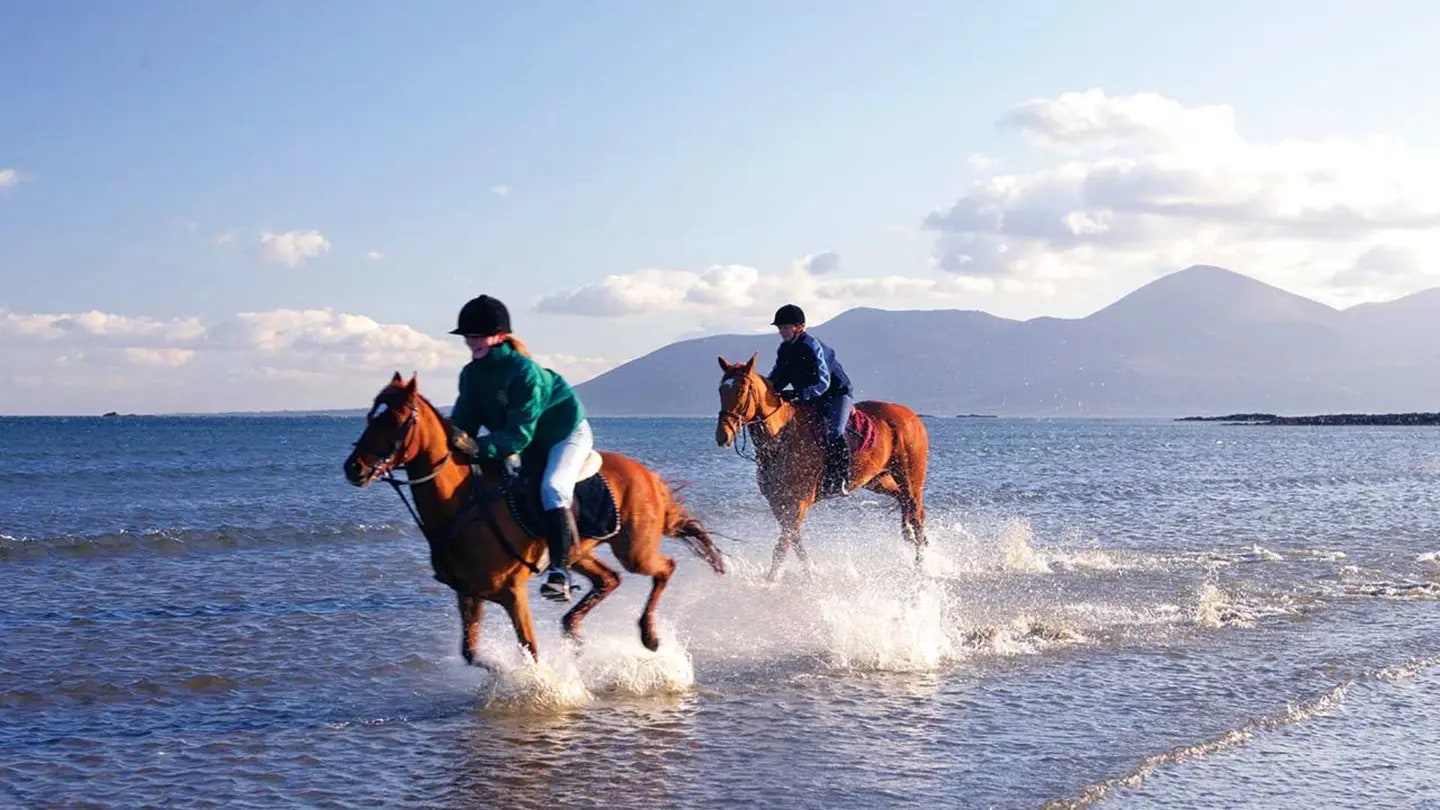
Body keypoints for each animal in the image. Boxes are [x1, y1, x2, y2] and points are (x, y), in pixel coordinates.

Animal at [344, 371, 725, 662]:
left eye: (394, 420)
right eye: (369, 417)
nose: (354, 468)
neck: (464, 505)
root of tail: (647, 475)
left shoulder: (513, 592)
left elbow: (530, 649)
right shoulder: (468, 594)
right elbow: (471, 653)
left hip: (634, 549)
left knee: (664, 568)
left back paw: (648, 636)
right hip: (579, 551)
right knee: (609, 580)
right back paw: (575, 634)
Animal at [714, 351, 927, 573]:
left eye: (741, 390)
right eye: (721, 389)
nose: (723, 435)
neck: (780, 438)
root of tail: (913, 417)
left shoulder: (798, 503)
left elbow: (782, 547)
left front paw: (772, 579)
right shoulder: (778, 503)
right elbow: (795, 543)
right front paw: (810, 573)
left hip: (910, 479)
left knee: (917, 514)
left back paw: (920, 566)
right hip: (876, 479)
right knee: (902, 499)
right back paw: (908, 534)